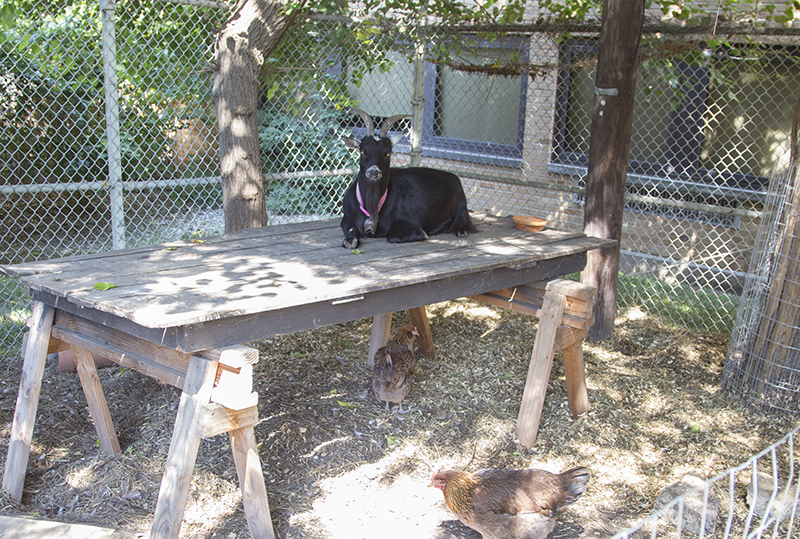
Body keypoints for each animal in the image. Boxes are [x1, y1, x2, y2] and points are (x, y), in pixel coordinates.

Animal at [340, 112, 476, 251]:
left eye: (387, 153)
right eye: (362, 151)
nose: (373, 174)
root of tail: (454, 177)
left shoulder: (409, 222)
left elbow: (393, 236)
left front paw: (423, 233)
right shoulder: (346, 219)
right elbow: (350, 234)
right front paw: (350, 240)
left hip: (461, 206)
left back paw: (460, 230)